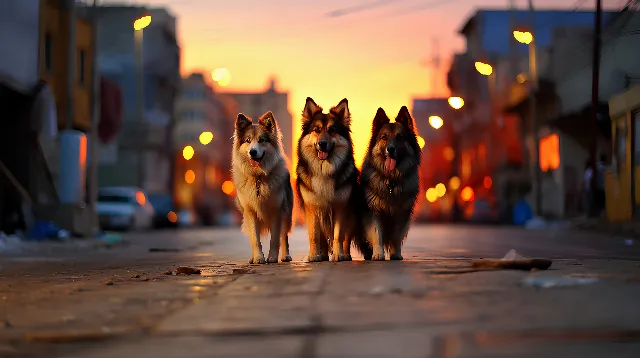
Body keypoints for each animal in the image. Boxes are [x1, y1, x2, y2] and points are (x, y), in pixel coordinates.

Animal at [231, 110, 294, 264]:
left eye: (262, 140)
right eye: (248, 140)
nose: (252, 152)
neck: (258, 177)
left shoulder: (277, 211)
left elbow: (275, 238)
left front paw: (272, 257)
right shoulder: (250, 212)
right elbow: (255, 239)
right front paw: (259, 258)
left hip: (287, 213)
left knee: (284, 235)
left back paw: (285, 256)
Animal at [296, 96, 382, 262]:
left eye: (332, 130)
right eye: (316, 130)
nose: (322, 144)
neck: (324, 169)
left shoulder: (340, 208)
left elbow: (338, 236)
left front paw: (337, 255)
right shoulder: (313, 209)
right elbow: (314, 236)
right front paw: (313, 256)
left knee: (346, 238)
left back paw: (345, 255)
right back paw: (322, 255)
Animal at [362, 106, 422, 260]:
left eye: (400, 137)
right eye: (384, 137)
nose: (390, 149)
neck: (391, 179)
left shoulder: (402, 214)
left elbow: (396, 236)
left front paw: (395, 254)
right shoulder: (374, 212)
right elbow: (377, 234)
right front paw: (378, 254)